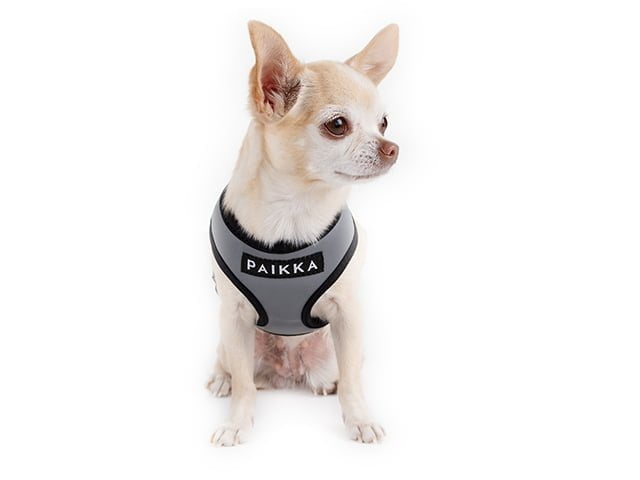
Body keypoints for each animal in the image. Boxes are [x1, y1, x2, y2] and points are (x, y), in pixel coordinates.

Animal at [207, 20, 399, 446]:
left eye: (384, 123)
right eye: (338, 125)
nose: (392, 147)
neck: (295, 211)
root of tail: (289, 370)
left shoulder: (348, 314)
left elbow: (354, 384)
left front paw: (359, 419)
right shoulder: (234, 316)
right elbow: (244, 385)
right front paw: (236, 423)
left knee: (346, 373)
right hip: (231, 338)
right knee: (235, 368)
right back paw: (220, 378)